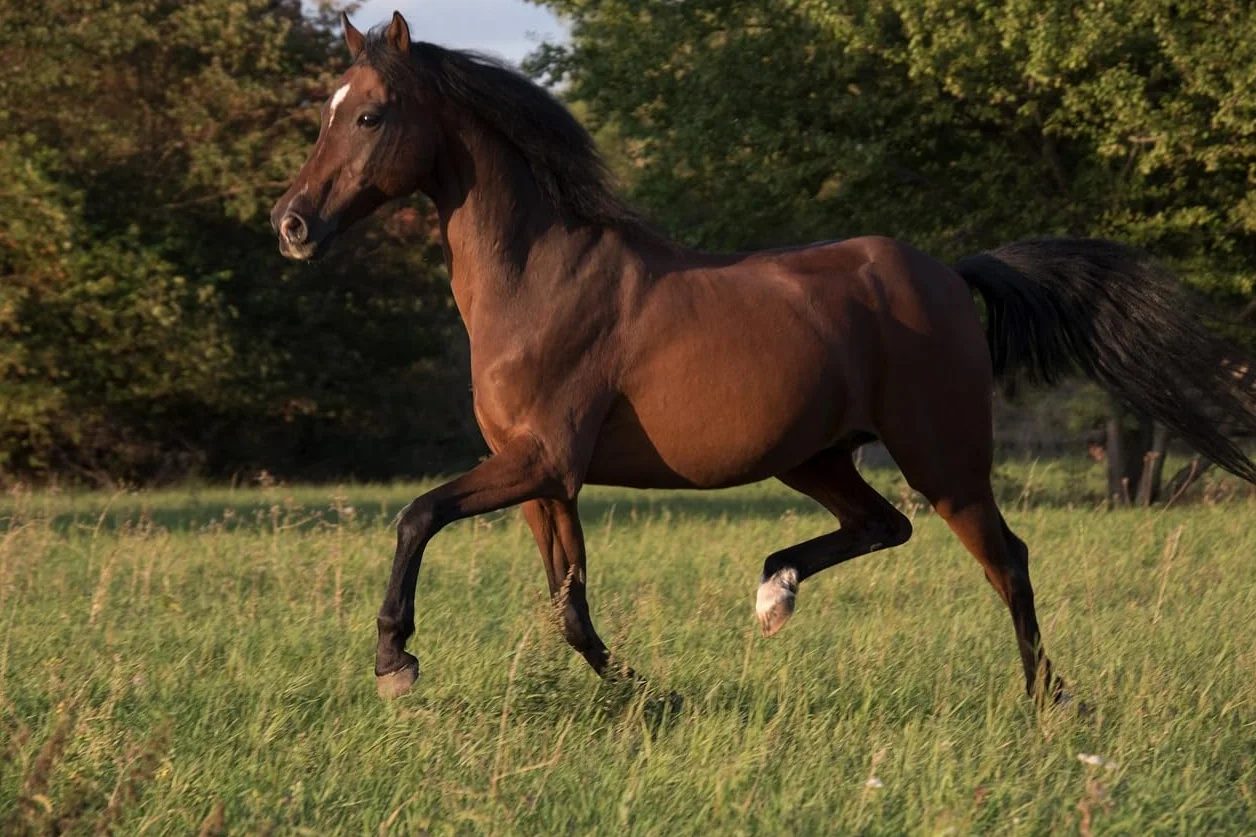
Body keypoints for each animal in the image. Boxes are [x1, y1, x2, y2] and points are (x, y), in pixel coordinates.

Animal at [270, 11, 1256, 704]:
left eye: (369, 114)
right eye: (326, 113)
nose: (292, 223)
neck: (541, 276)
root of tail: (948, 270)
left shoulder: (540, 459)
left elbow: (418, 516)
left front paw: (395, 659)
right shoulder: (544, 478)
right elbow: (569, 605)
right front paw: (649, 696)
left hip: (944, 458)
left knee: (1004, 558)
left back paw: (1051, 701)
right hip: (816, 456)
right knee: (882, 526)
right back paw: (774, 590)